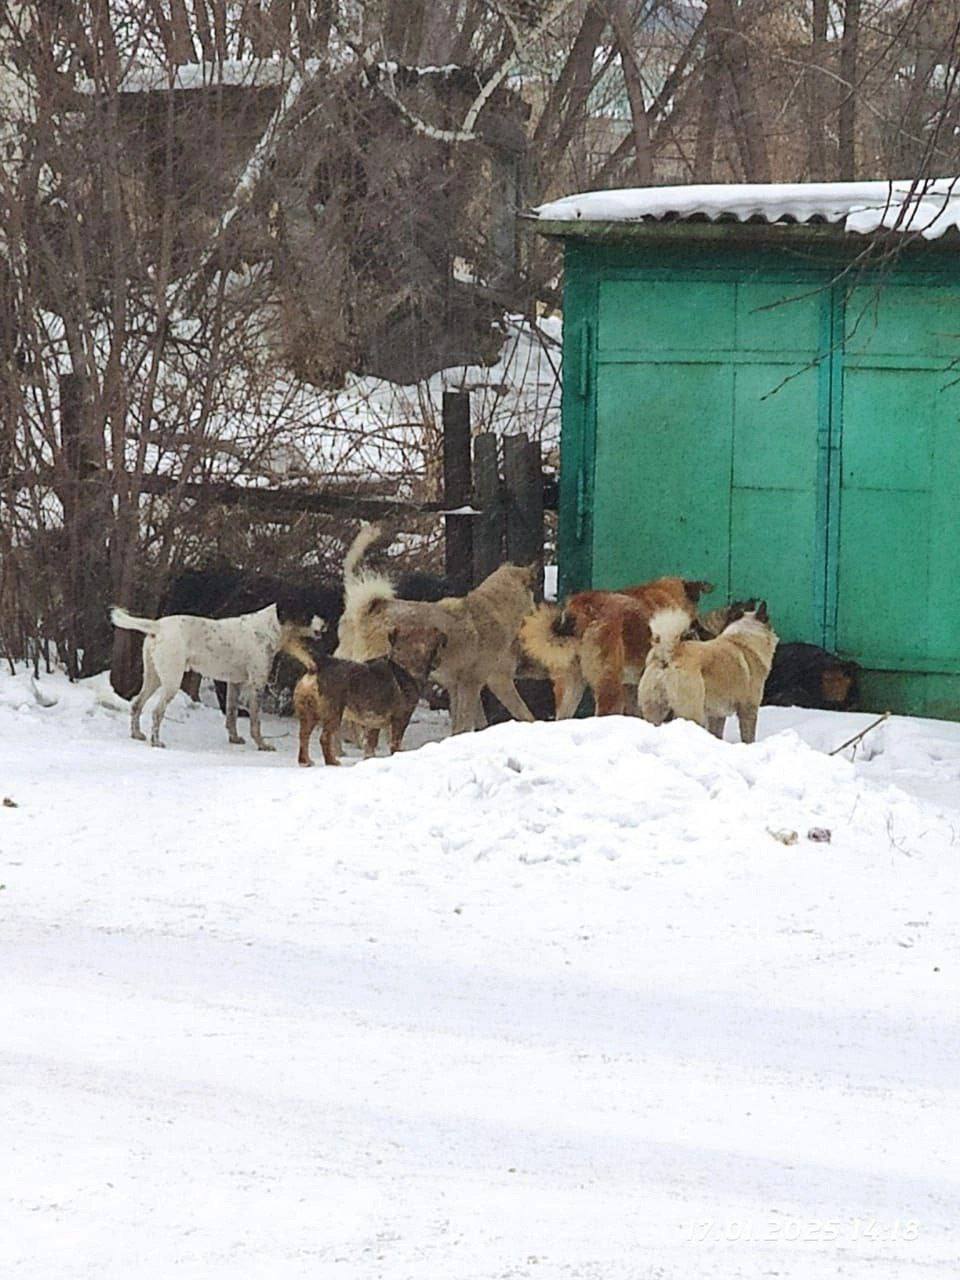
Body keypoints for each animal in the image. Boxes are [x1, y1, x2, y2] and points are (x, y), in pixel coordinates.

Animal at [111, 596, 325, 747]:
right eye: (308, 613)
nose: (326, 625)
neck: (269, 628)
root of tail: (158, 625)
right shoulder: (257, 684)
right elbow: (255, 722)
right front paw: (262, 744)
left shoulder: (234, 683)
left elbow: (231, 713)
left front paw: (235, 738)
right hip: (171, 681)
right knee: (157, 712)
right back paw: (156, 741)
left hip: (153, 677)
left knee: (137, 704)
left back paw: (137, 734)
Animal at [293, 624, 448, 762]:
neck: (404, 664)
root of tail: (319, 664)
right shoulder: (401, 718)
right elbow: (395, 742)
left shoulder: (373, 723)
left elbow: (370, 745)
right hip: (333, 714)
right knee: (324, 738)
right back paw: (332, 762)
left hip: (308, 714)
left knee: (303, 737)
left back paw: (306, 761)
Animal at [519, 576, 716, 716]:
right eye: (695, 624)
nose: (712, 636)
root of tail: (580, 607)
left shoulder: (632, 689)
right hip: (609, 685)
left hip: (570, 688)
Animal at [640, 601, 783, 747]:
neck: (745, 638)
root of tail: (669, 653)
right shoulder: (748, 709)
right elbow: (748, 737)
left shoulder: (717, 715)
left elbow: (717, 733)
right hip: (692, 713)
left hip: (655, 710)